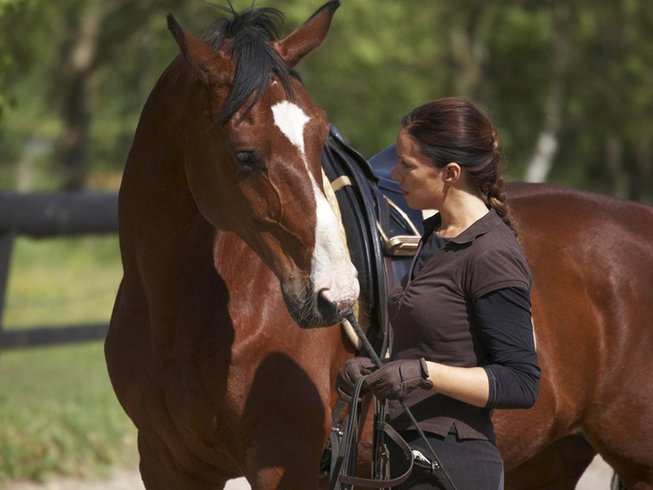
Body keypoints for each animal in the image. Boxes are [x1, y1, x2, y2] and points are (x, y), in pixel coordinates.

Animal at [107, 0, 652, 490]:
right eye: (244, 154)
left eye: (320, 135)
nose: (338, 293)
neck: (179, 315)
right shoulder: (167, 465)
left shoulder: (284, 466)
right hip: (549, 459)